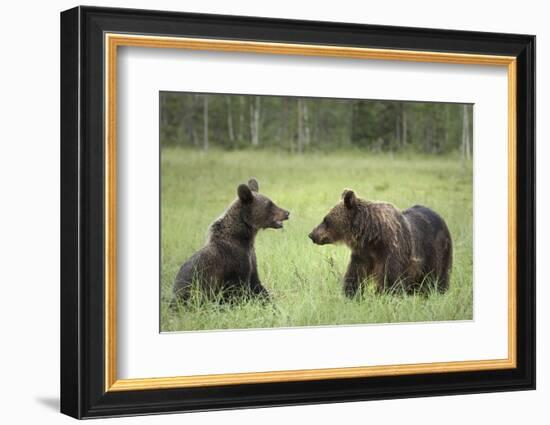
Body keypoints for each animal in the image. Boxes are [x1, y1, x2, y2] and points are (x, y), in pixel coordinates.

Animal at [308, 189, 454, 294]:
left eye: (326, 219)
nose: (311, 234)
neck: (372, 236)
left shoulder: (391, 251)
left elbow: (390, 279)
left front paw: (383, 295)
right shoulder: (363, 254)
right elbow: (355, 275)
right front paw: (351, 294)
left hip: (436, 251)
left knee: (436, 277)